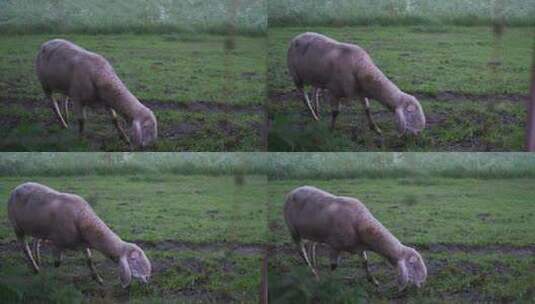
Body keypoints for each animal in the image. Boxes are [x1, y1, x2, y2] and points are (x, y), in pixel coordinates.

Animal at [7, 183, 152, 288]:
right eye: (133, 259)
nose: (148, 276)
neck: (82, 217)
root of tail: (18, 186)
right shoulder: (57, 242)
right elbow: (58, 263)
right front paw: (52, 277)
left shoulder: (82, 242)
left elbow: (89, 260)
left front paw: (98, 279)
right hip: (17, 226)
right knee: (25, 248)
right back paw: (36, 268)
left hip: (39, 228)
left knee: (36, 242)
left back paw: (38, 260)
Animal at [284, 185, 428, 290]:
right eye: (412, 264)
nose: (422, 282)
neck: (360, 222)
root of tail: (294, 190)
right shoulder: (334, 245)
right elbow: (334, 266)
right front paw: (329, 282)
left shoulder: (359, 247)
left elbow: (365, 262)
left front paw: (373, 281)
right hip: (293, 230)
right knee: (301, 251)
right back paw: (313, 271)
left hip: (314, 232)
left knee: (311, 246)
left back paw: (315, 266)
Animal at [288, 32, 428, 135]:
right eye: (411, 114)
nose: (418, 134)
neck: (361, 67)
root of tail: (299, 35)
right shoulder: (334, 91)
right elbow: (335, 112)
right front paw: (331, 129)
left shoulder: (360, 91)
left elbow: (367, 109)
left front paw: (375, 129)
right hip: (296, 76)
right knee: (304, 97)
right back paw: (313, 115)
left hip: (317, 78)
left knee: (315, 91)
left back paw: (317, 110)